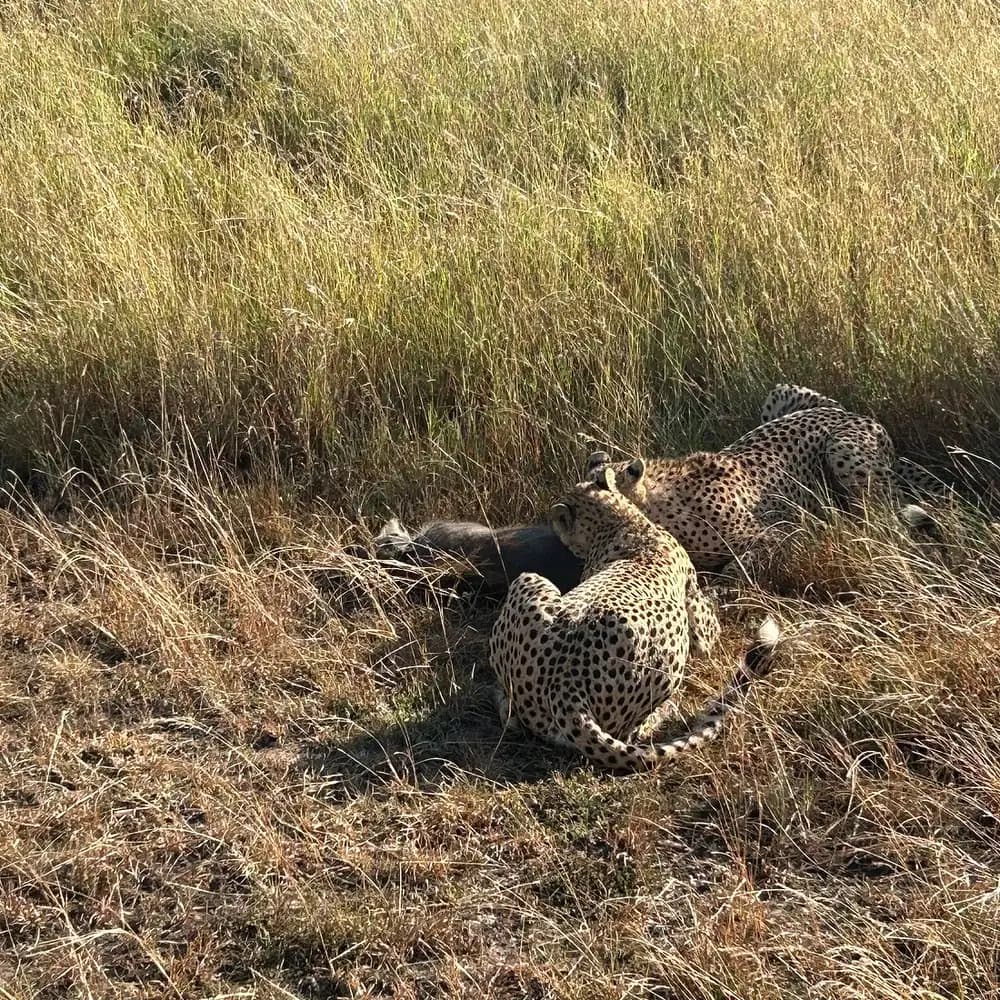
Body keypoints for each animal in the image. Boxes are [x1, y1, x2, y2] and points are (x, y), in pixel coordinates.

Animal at [488, 465, 781, 770]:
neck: (623, 523)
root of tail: (564, 688)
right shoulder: (698, 622)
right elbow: (709, 633)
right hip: (665, 627)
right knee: (633, 732)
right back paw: (666, 708)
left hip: (528, 581)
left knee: (510, 713)